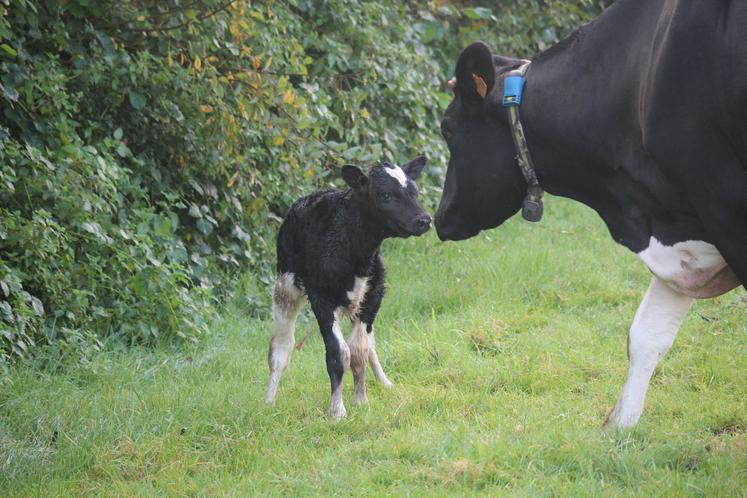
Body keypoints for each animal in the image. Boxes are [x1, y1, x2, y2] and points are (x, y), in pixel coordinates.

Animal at [264, 156, 432, 416]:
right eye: (385, 194)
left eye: (414, 191)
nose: (424, 220)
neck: (356, 253)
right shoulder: (321, 298)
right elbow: (338, 352)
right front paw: (337, 410)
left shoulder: (373, 296)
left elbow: (359, 350)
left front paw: (361, 401)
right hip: (285, 287)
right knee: (281, 346)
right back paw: (269, 401)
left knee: (369, 344)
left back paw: (385, 383)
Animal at [432, 0, 747, 428]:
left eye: (447, 129)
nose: (440, 218)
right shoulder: (684, 224)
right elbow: (646, 335)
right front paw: (620, 425)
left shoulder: (726, 211)